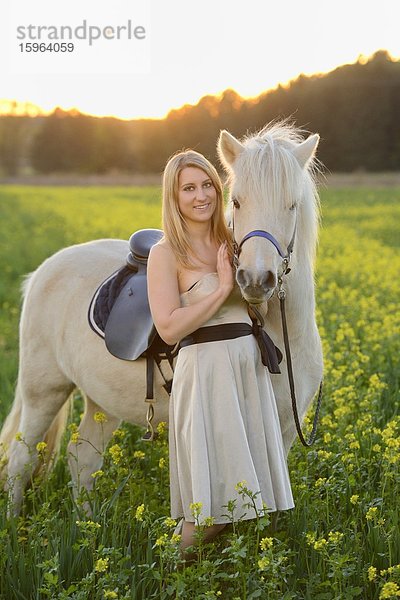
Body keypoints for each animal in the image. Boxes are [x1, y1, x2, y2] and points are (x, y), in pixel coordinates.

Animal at [0, 120, 324, 510]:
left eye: (292, 205)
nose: (256, 280)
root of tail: (43, 271)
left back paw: (86, 524)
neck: (279, 333)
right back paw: (15, 522)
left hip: (101, 400)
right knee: (21, 458)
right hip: (44, 389)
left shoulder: (285, 432)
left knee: (83, 459)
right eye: (236, 201)